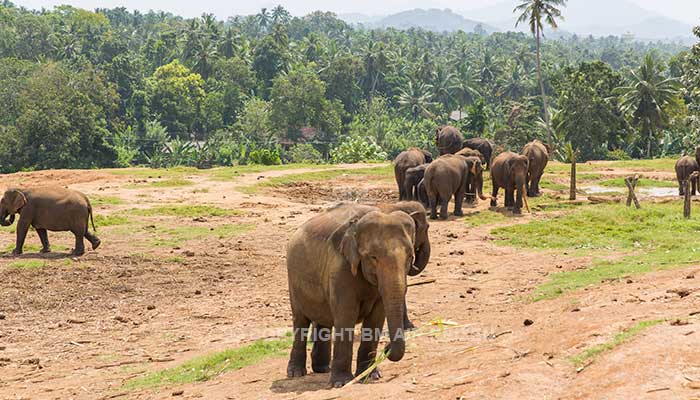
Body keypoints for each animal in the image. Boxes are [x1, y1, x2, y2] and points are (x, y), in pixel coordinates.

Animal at [284, 203, 422, 388]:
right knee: (301, 321)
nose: (386, 348)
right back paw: (296, 373)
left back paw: (322, 369)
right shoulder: (341, 268)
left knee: (323, 321)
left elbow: (376, 317)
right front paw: (341, 383)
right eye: (373, 257)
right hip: (293, 280)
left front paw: (370, 376)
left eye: (410, 257)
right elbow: (346, 314)